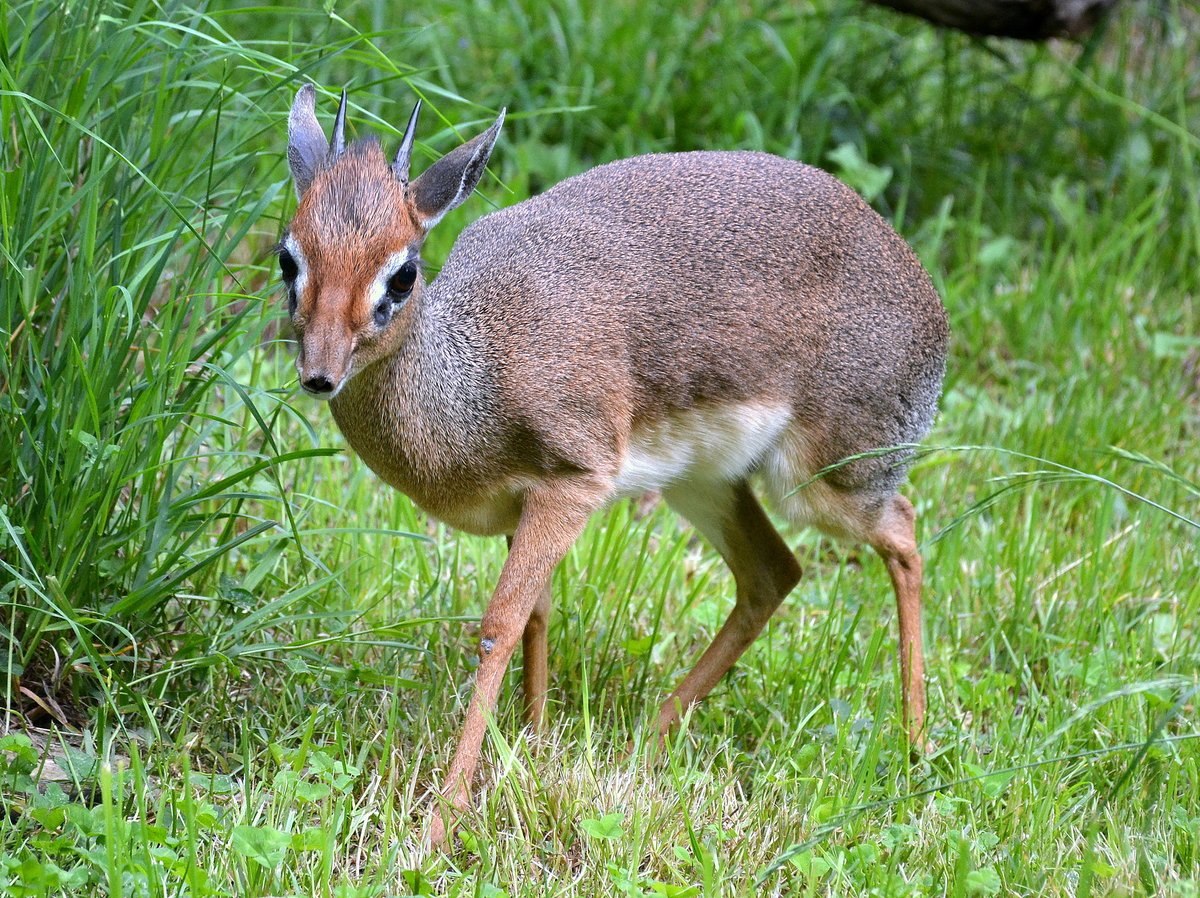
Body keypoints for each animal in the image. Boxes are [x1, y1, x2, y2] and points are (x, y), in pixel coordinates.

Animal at [278, 85, 945, 849]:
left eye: (403, 270)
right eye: (289, 258)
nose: (320, 374)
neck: (469, 378)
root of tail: (922, 290)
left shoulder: (573, 485)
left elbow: (498, 627)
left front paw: (441, 822)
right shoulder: (527, 507)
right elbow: (537, 615)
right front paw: (533, 743)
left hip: (824, 480)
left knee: (903, 531)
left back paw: (915, 746)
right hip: (705, 484)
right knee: (773, 573)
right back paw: (645, 741)